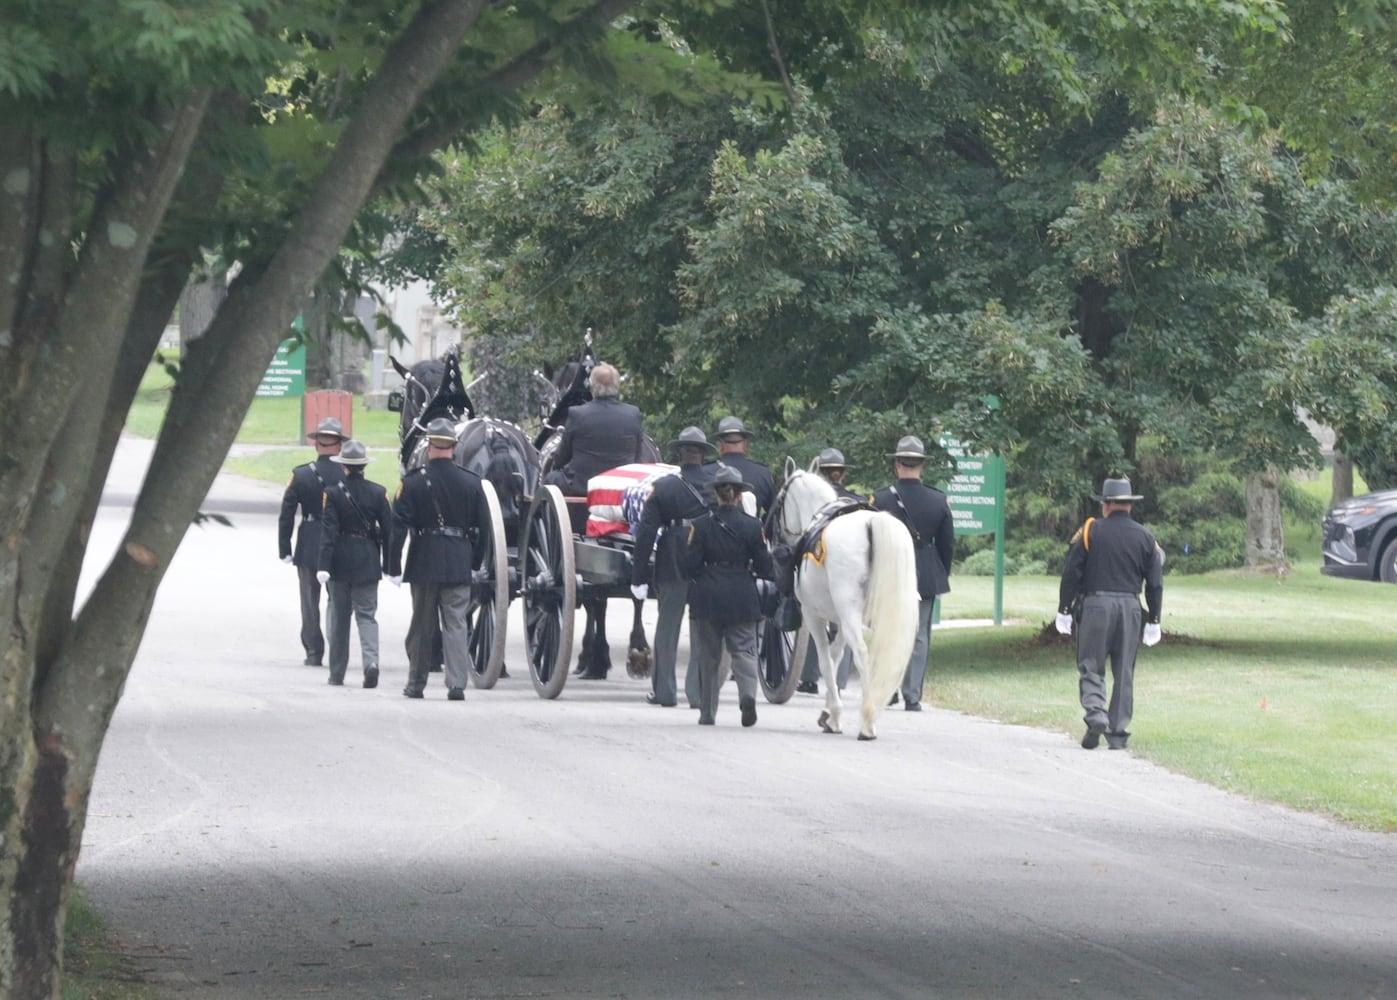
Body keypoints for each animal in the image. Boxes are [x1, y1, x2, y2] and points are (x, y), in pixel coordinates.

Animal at [765, 463, 916, 743]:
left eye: (779, 499)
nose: (769, 533)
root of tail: (870, 523)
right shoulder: (842, 619)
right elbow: (836, 657)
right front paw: (828, 711)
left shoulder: (814, 615)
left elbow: (825, 661)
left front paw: (834, 714)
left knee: (864, 654)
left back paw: (867, 721)